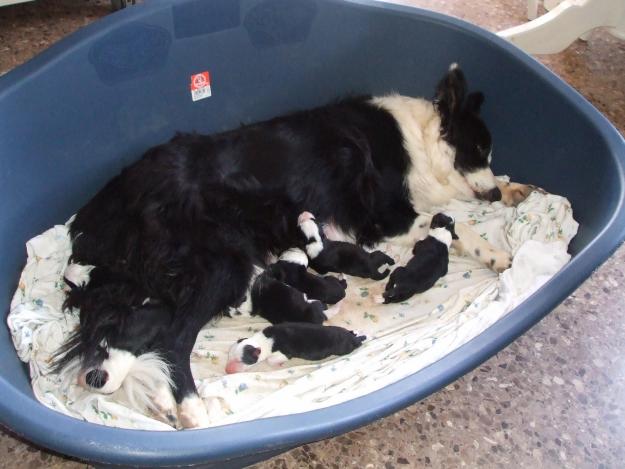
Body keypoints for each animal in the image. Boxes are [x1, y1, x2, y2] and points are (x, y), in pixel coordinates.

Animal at [56, 63, 532, 428]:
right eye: (478, 149)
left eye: (489, 154)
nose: (493, 193)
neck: (421, 140)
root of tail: (105, 205)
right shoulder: (387, 219)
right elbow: (458, 227)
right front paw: (497, 252)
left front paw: (513, 189)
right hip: (221, 263)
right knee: (174, 339)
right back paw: (190, 408)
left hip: (157, 284)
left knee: (126, 332)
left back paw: (138, 391)